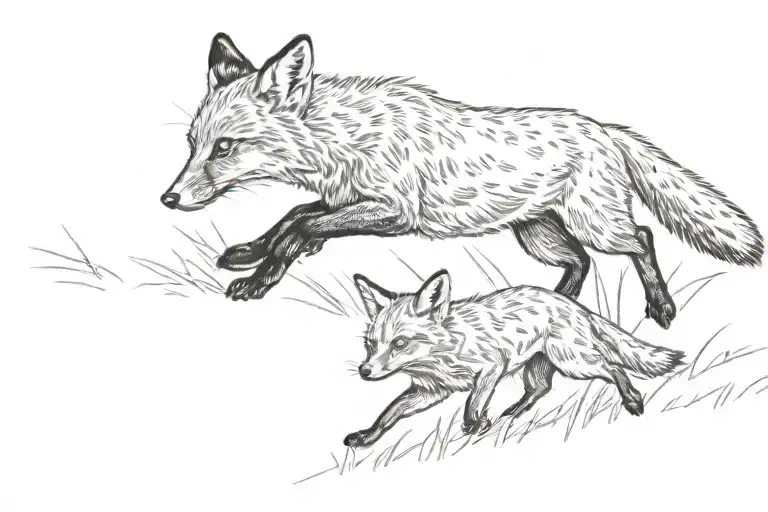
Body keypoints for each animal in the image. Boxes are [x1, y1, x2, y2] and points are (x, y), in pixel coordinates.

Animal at [160, 32, 763, 330]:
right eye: (192, 144)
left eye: (224, 147)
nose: (169, 198)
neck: (345, 141)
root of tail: (605, 129)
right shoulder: (349, 199)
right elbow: (295, 216)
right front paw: (249, 252)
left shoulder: (393, 213)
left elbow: (302, 227)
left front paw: (259, 279)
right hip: (537, 235)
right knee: (579, 264)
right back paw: (559, 308)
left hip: (596, 224)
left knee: (641, 239)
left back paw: (660, 309)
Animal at [342, 269, 686, 448]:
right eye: (370, 344)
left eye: (399, 343)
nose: (365, 370)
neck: (442, 353)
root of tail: (576, 306)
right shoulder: (430, 390)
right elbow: (389, 413)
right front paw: (367, 437)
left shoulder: (491, 366)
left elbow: (473, 402)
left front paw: (474, 424)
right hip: (539, 367)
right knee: (541, 388)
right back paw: (514, 413)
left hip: (573, 361)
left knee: (613, 367)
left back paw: (633, 400)